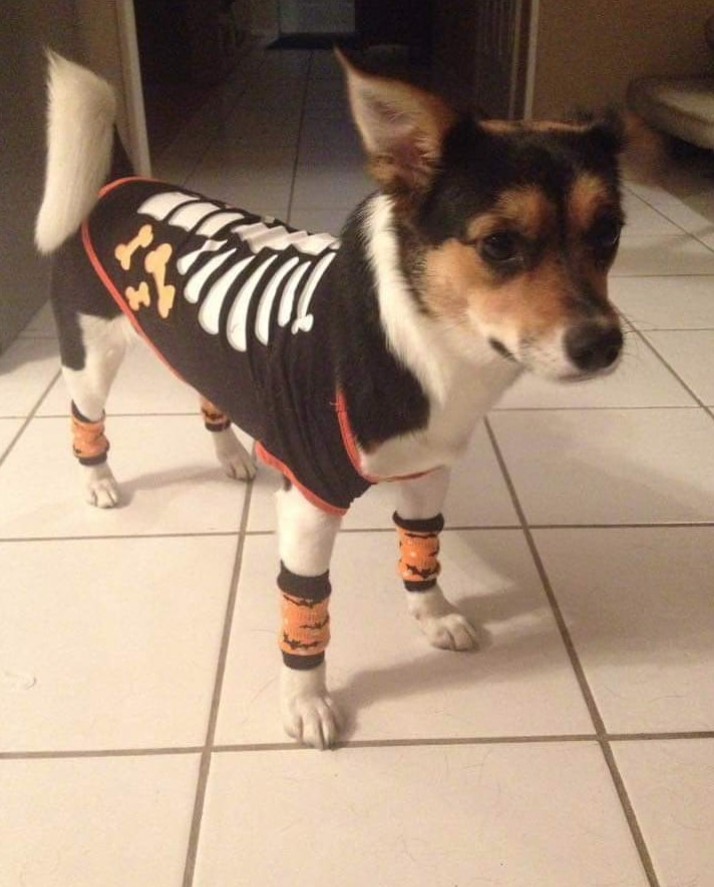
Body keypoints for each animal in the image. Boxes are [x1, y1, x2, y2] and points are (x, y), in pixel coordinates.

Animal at [37, 50, 628, 748]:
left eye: (610, 232)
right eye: (499, 244)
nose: (604, 345)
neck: (417, 337)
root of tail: (118, 184)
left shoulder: (425, 476)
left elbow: (421, 552)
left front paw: (433, 615)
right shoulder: (309, 509)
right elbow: (306, 611)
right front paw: (308, 702)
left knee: (207, 395)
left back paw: (231, 454)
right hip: (91, 354)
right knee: (86, 419)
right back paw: (99, 479)